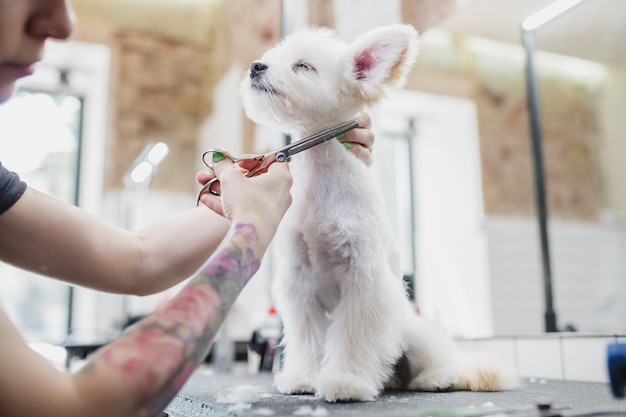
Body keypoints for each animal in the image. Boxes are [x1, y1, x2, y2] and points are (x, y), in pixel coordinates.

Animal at [236, 24, 516, 402]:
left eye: (303, 66)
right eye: (271, 56)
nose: (256, 67)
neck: (320, 179)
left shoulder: (363, 279)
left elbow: (353, 338)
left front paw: (345, 381)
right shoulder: (300, 283)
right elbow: (307, 338)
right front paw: (302, 377)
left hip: (413, 331)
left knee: (444, 363)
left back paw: (437, 377)